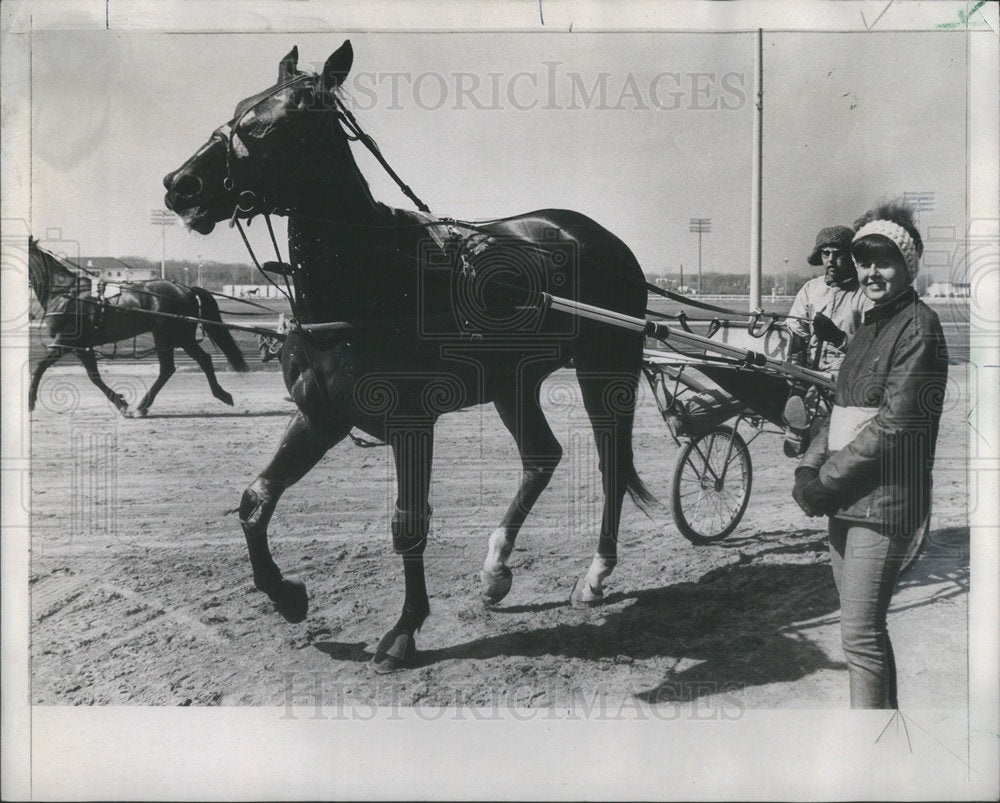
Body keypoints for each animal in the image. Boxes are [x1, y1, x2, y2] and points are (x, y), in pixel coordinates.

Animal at [28, 237, 247, 414]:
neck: (65, 293)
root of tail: (185, 289)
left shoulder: (65, 341)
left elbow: (39, 367)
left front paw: (30, 401)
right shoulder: (81, 346)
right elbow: (94, 376)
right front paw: (120, 401)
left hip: (173, 335)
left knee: (188, 363)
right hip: (172, 336)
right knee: (181, 365)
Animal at [161, 42, 652, 672]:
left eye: (291, 117)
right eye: (243, 105)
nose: (182, 185)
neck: (370, 283)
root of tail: (601, 238)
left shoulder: (412, 421)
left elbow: (407, 526)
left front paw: (404, 630)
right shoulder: (319, 415)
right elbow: (255, 500)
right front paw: (287, 595)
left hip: (606, 367)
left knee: (612, 462)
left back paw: (595, 574)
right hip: (513, 381)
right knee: (541, 457)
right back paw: (496, 569)